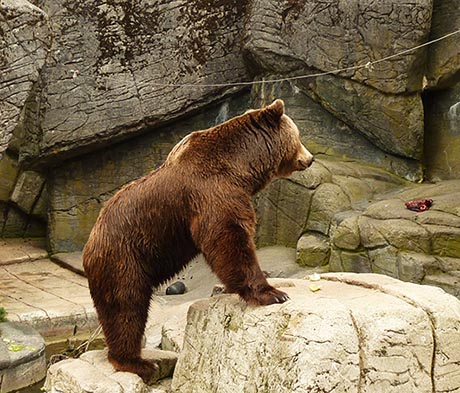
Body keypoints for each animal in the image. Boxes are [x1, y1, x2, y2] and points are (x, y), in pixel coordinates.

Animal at [82, 99, 312, 382]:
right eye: (298, 136)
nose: (310, 158)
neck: (242, 166)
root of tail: (90, 244)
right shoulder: (213, 193)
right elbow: (229, 238)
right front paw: (273, 292)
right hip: (124, 259)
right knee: (126, 307)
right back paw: (138, 363)